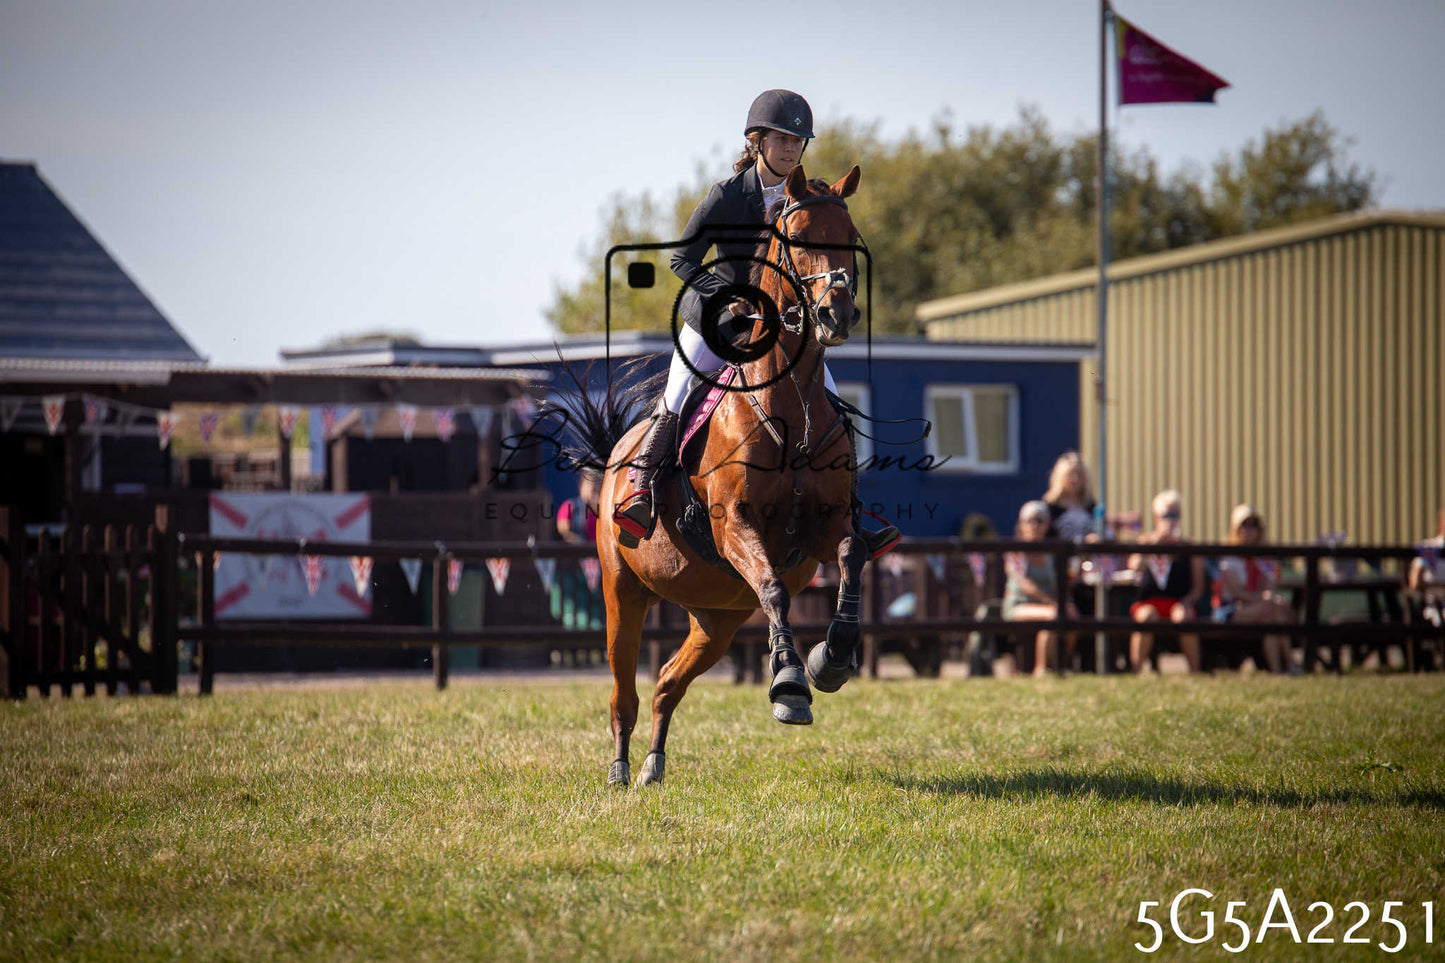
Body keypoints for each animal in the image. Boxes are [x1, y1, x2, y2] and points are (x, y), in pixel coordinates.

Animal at [569, 164, 874, 787]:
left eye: (850, 236)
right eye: (798, 237)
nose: (836, 314)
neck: (791, 406)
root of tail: (616, 453)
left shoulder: (823, 526)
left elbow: (852, 554)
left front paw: (831, 658)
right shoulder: (735, 523)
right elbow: (776, 590)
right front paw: (790, 687)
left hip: (719, 615)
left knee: (667, 684)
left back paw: (654, 765)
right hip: (622, 592)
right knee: (623, 693)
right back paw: (619, 769)